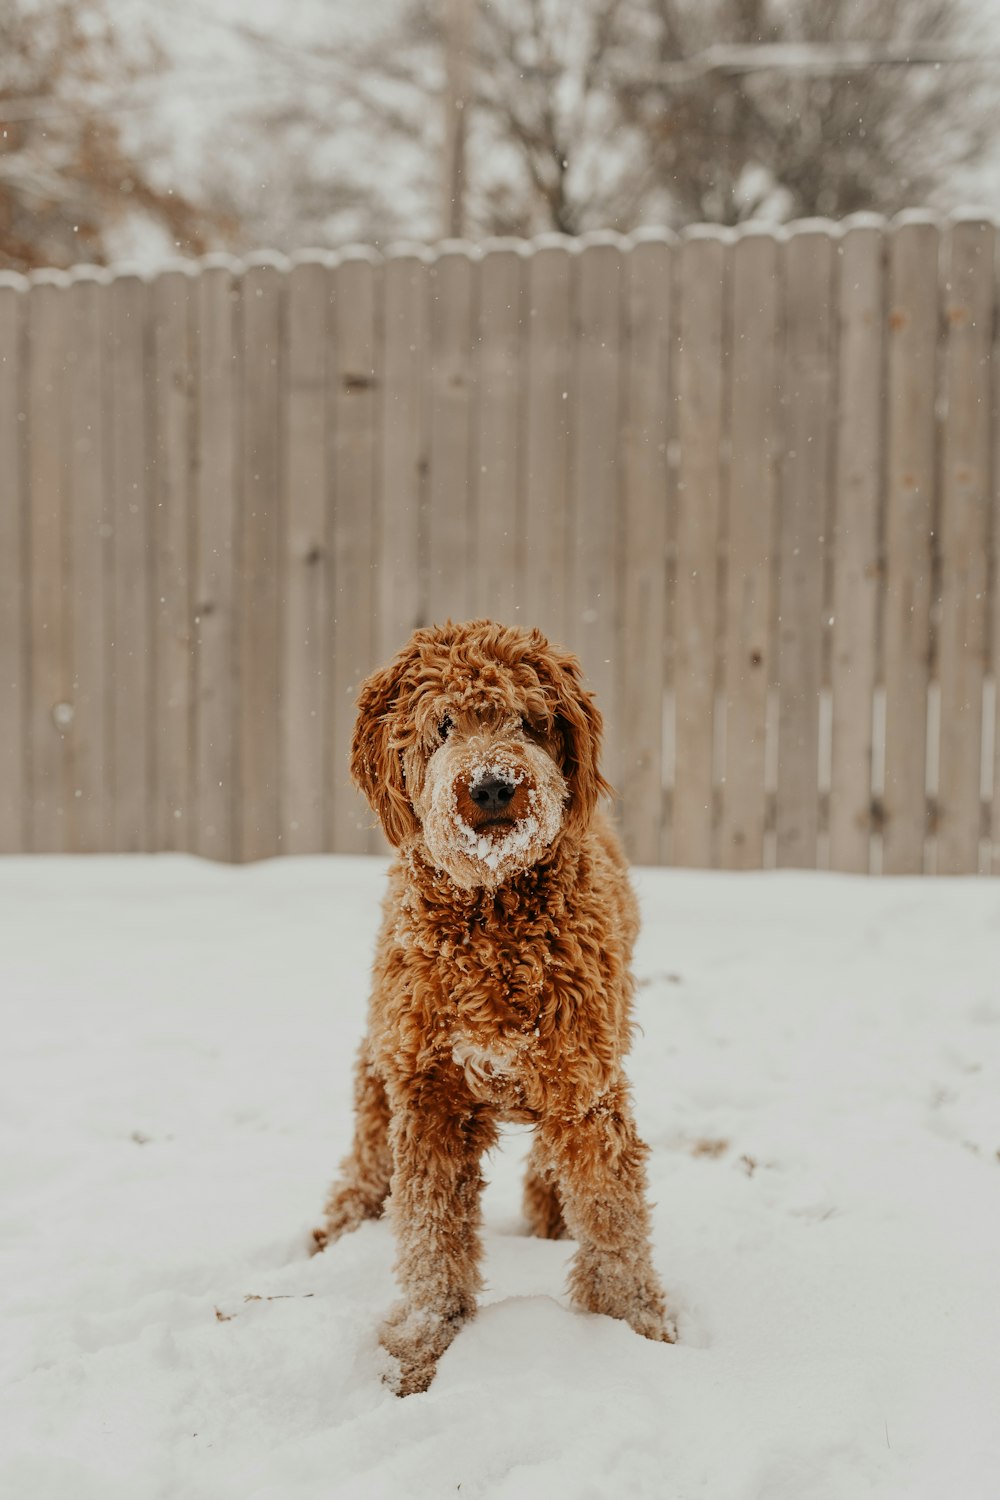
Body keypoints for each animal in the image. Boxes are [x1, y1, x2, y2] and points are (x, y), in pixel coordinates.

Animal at [313, 615, 671, 1386]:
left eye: (529, 721)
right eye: (443, 725)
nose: (492, 787)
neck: (493, 915)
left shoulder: (585, 1086)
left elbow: (613, 1216)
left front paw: (636, 1326)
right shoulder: (429, 1096)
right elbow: (430, 1234)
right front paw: (423, 1339)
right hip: (383, 1052)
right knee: (366, 1144)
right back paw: (340, 1224)